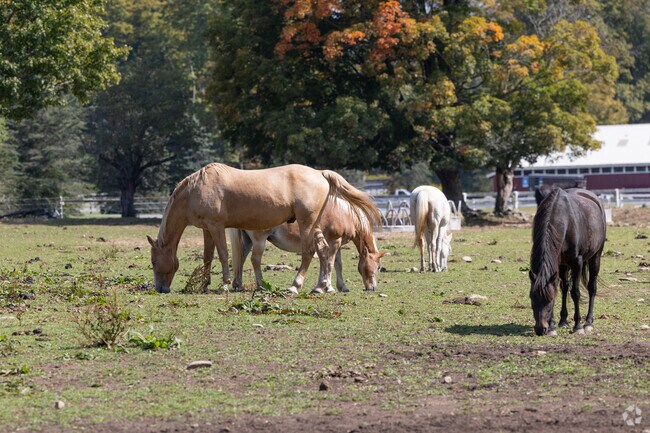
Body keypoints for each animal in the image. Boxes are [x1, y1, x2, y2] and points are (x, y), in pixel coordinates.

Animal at [229, 197, 384, 294]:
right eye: (378, 267)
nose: (373, 287)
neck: (345, 214)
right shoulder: (335, 242)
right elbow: (330, 263)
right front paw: (327, 287)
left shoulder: (336, 244)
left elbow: (337, 264)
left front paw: (339, 287)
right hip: (259, 240)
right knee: (255, 260)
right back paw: (261, 285)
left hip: (248, 241)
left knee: (241, 259)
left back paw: (238, 285)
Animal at [529, 187, 606, 336]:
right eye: (532, 299)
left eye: (549, 301)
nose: (540, 329)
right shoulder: (558, 264)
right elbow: (558, 289)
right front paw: (552, 326)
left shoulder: (577, 262)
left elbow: (575, 292)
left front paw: (578, 326)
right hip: (564, 265)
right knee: (564, 287)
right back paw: (563, 321)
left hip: (595, 257)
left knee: (591, 288)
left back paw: (588, 322)